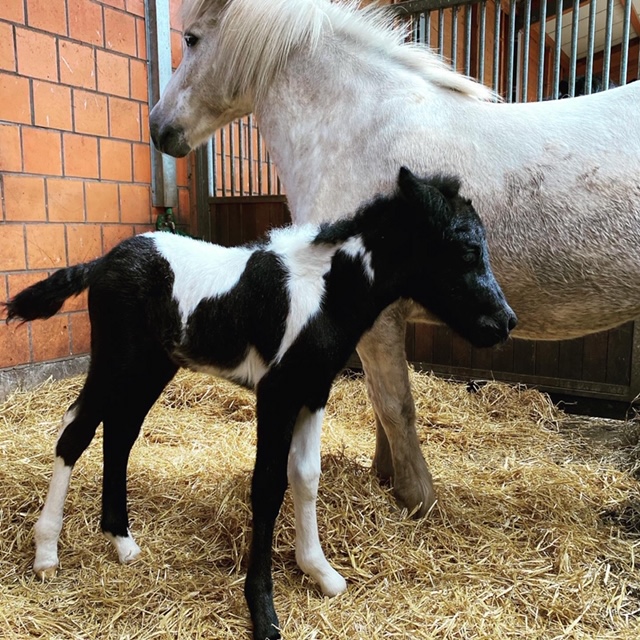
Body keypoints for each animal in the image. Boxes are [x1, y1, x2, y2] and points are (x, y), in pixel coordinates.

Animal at [5, 168, 516, 636]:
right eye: (467, 252)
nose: (505, 322)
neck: (327, 291)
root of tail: (103, 260)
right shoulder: (277, 394)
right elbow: (267, 486)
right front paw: (263, 610)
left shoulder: (313, 391)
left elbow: (306, 476)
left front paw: (320, 572)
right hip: (117, 358)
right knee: (76, 430)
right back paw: (46, 553)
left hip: (151, 366)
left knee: (121, 432)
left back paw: (123, 542)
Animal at [149, 0, 640, 600]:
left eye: (192, 38)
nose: (159, 128)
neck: (355, 127)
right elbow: (384, 407)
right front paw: (386, 479)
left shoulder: (375, 318)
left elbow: (394, 404)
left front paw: (417, 498)